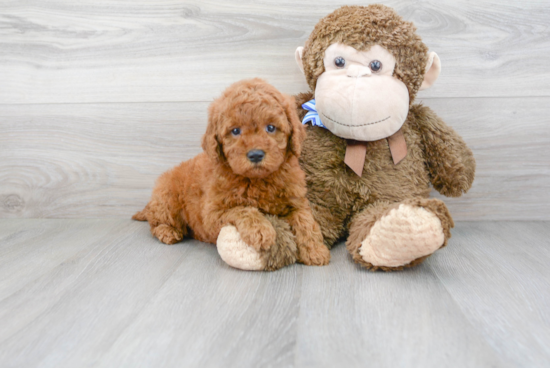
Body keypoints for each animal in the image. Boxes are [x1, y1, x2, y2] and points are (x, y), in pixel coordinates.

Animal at [134, 78, 332, 268]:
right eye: (235, 131)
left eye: (271, 128)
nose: (255, 155)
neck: (258, 180)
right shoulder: (212, 214)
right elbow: (242, 209)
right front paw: (261, 230)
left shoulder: (296, 201)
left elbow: (305, 221)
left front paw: (315, 251)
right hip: (167, 199)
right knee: (156, 222)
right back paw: (168, 232)